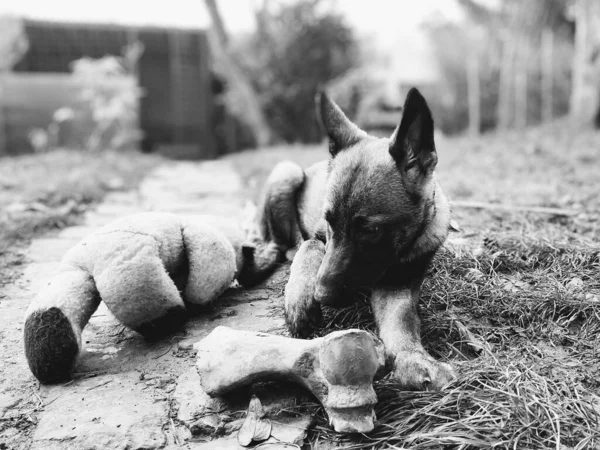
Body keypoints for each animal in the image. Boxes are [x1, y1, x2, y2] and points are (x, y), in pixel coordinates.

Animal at [244, 88, 454, 390]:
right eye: (330, 222)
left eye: (371, 230)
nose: (321, 295)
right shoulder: (320, 236)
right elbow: (311, 245)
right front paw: (299, 299)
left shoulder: (399, 284)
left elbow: (400, 321)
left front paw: (413, 358)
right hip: (287, 171)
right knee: (278, 244)